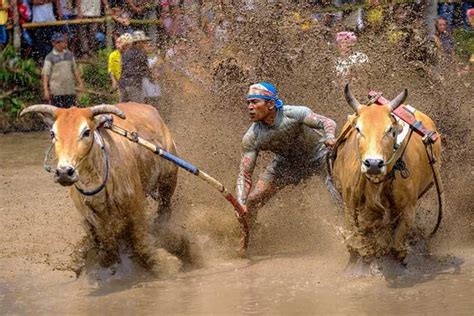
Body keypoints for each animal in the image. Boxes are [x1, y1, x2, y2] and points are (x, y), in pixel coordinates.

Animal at [20, 103, 181, 274]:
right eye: (53, 133)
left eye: (86, 132)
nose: (64, 172)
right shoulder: (90, 218)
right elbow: (108, 247)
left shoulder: (136, 206)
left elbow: (141, 242)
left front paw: (167, 264)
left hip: (168, 180)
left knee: (165, 208)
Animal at [332, 84, 442, 264]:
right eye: (358, 129)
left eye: (390, 130)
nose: (373, 163)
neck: (375, 185)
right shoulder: (349, 206)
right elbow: (356, 241)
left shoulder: (409, 210)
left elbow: (396, 245)